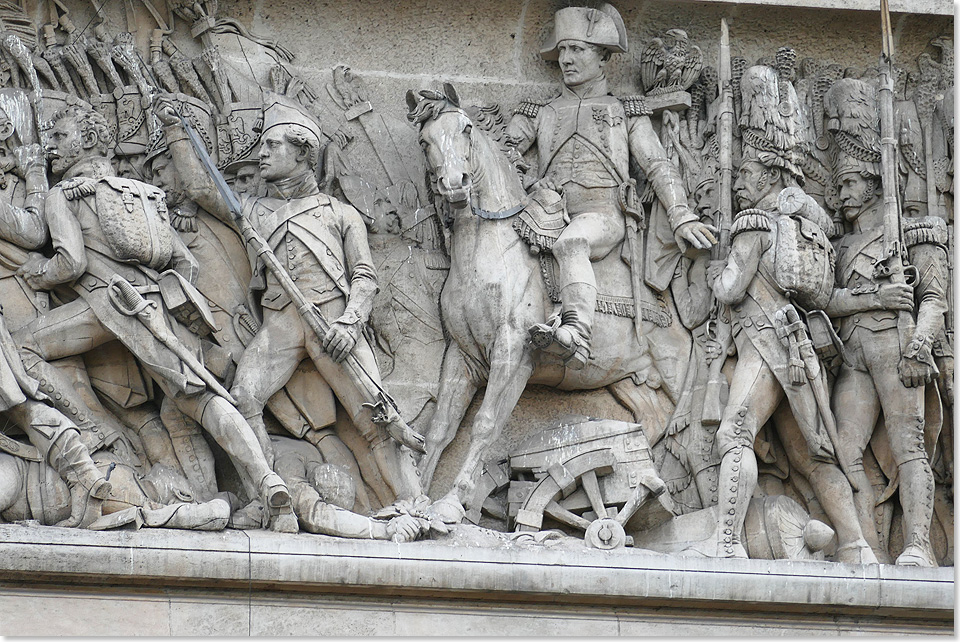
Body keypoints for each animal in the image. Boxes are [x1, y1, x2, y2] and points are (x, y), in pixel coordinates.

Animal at [404, 84, 688, 504]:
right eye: (425, 141)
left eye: (466, 128)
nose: (456, 183)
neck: (485, 250)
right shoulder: (461, 356)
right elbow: (440, 429)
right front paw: (415, 499)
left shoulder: (512, 354)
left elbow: (485, 423)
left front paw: (453, 502)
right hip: (627, 377)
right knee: (651, 421)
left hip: (672, 367)